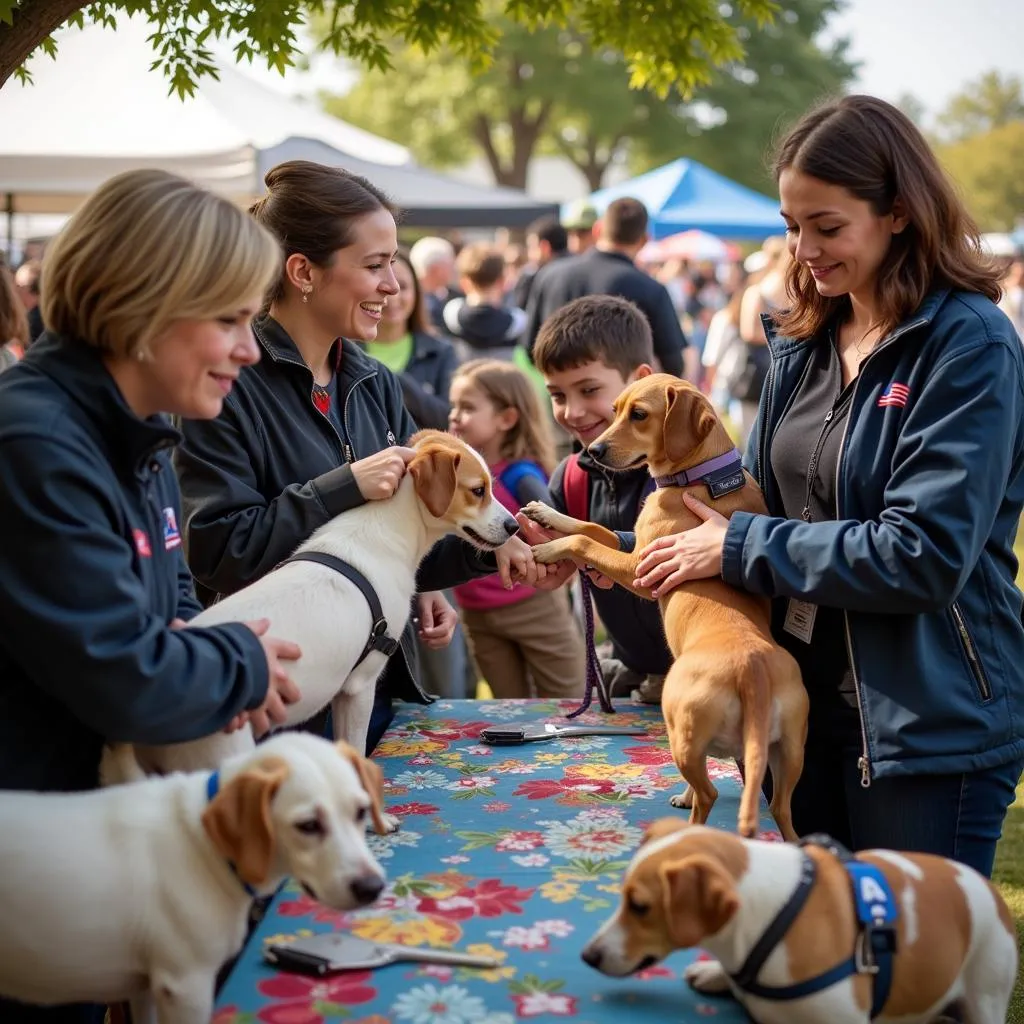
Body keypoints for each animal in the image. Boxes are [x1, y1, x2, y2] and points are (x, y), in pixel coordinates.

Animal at [0, 733, 389, 1024]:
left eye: (361, 811)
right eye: (308, 825)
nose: (372, 888)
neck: (205, 845)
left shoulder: (146, 987)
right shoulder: (186, 986)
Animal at [528, 376, 806, 839]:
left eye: (639, 415)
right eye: (615, 409)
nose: (593, 451)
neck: (705, 477)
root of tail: (749, 668)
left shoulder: (640, 567)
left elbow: (584, 540)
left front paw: (549, 547)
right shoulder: (632, 545)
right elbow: (591, 526)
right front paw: (545, 515)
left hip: (681, 729)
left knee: (710, 793)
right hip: (787, 755)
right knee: (781, 810)